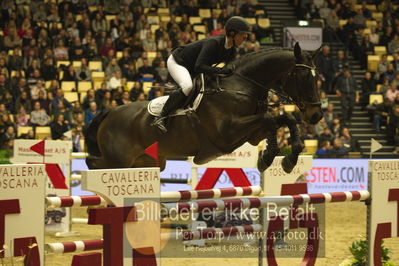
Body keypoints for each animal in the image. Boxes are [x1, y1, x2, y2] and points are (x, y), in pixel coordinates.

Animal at [86, 43, 324, 172]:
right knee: (93, 162)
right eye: (304, 75)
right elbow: (270, 120)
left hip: (147, 162)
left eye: (317, 76)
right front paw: (268, 157)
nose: (316, 115)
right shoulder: (226, 133)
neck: (241, 86)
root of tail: (110, 112)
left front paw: (288, 159)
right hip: (118, 160)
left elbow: (283, 120)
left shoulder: (251, 134)